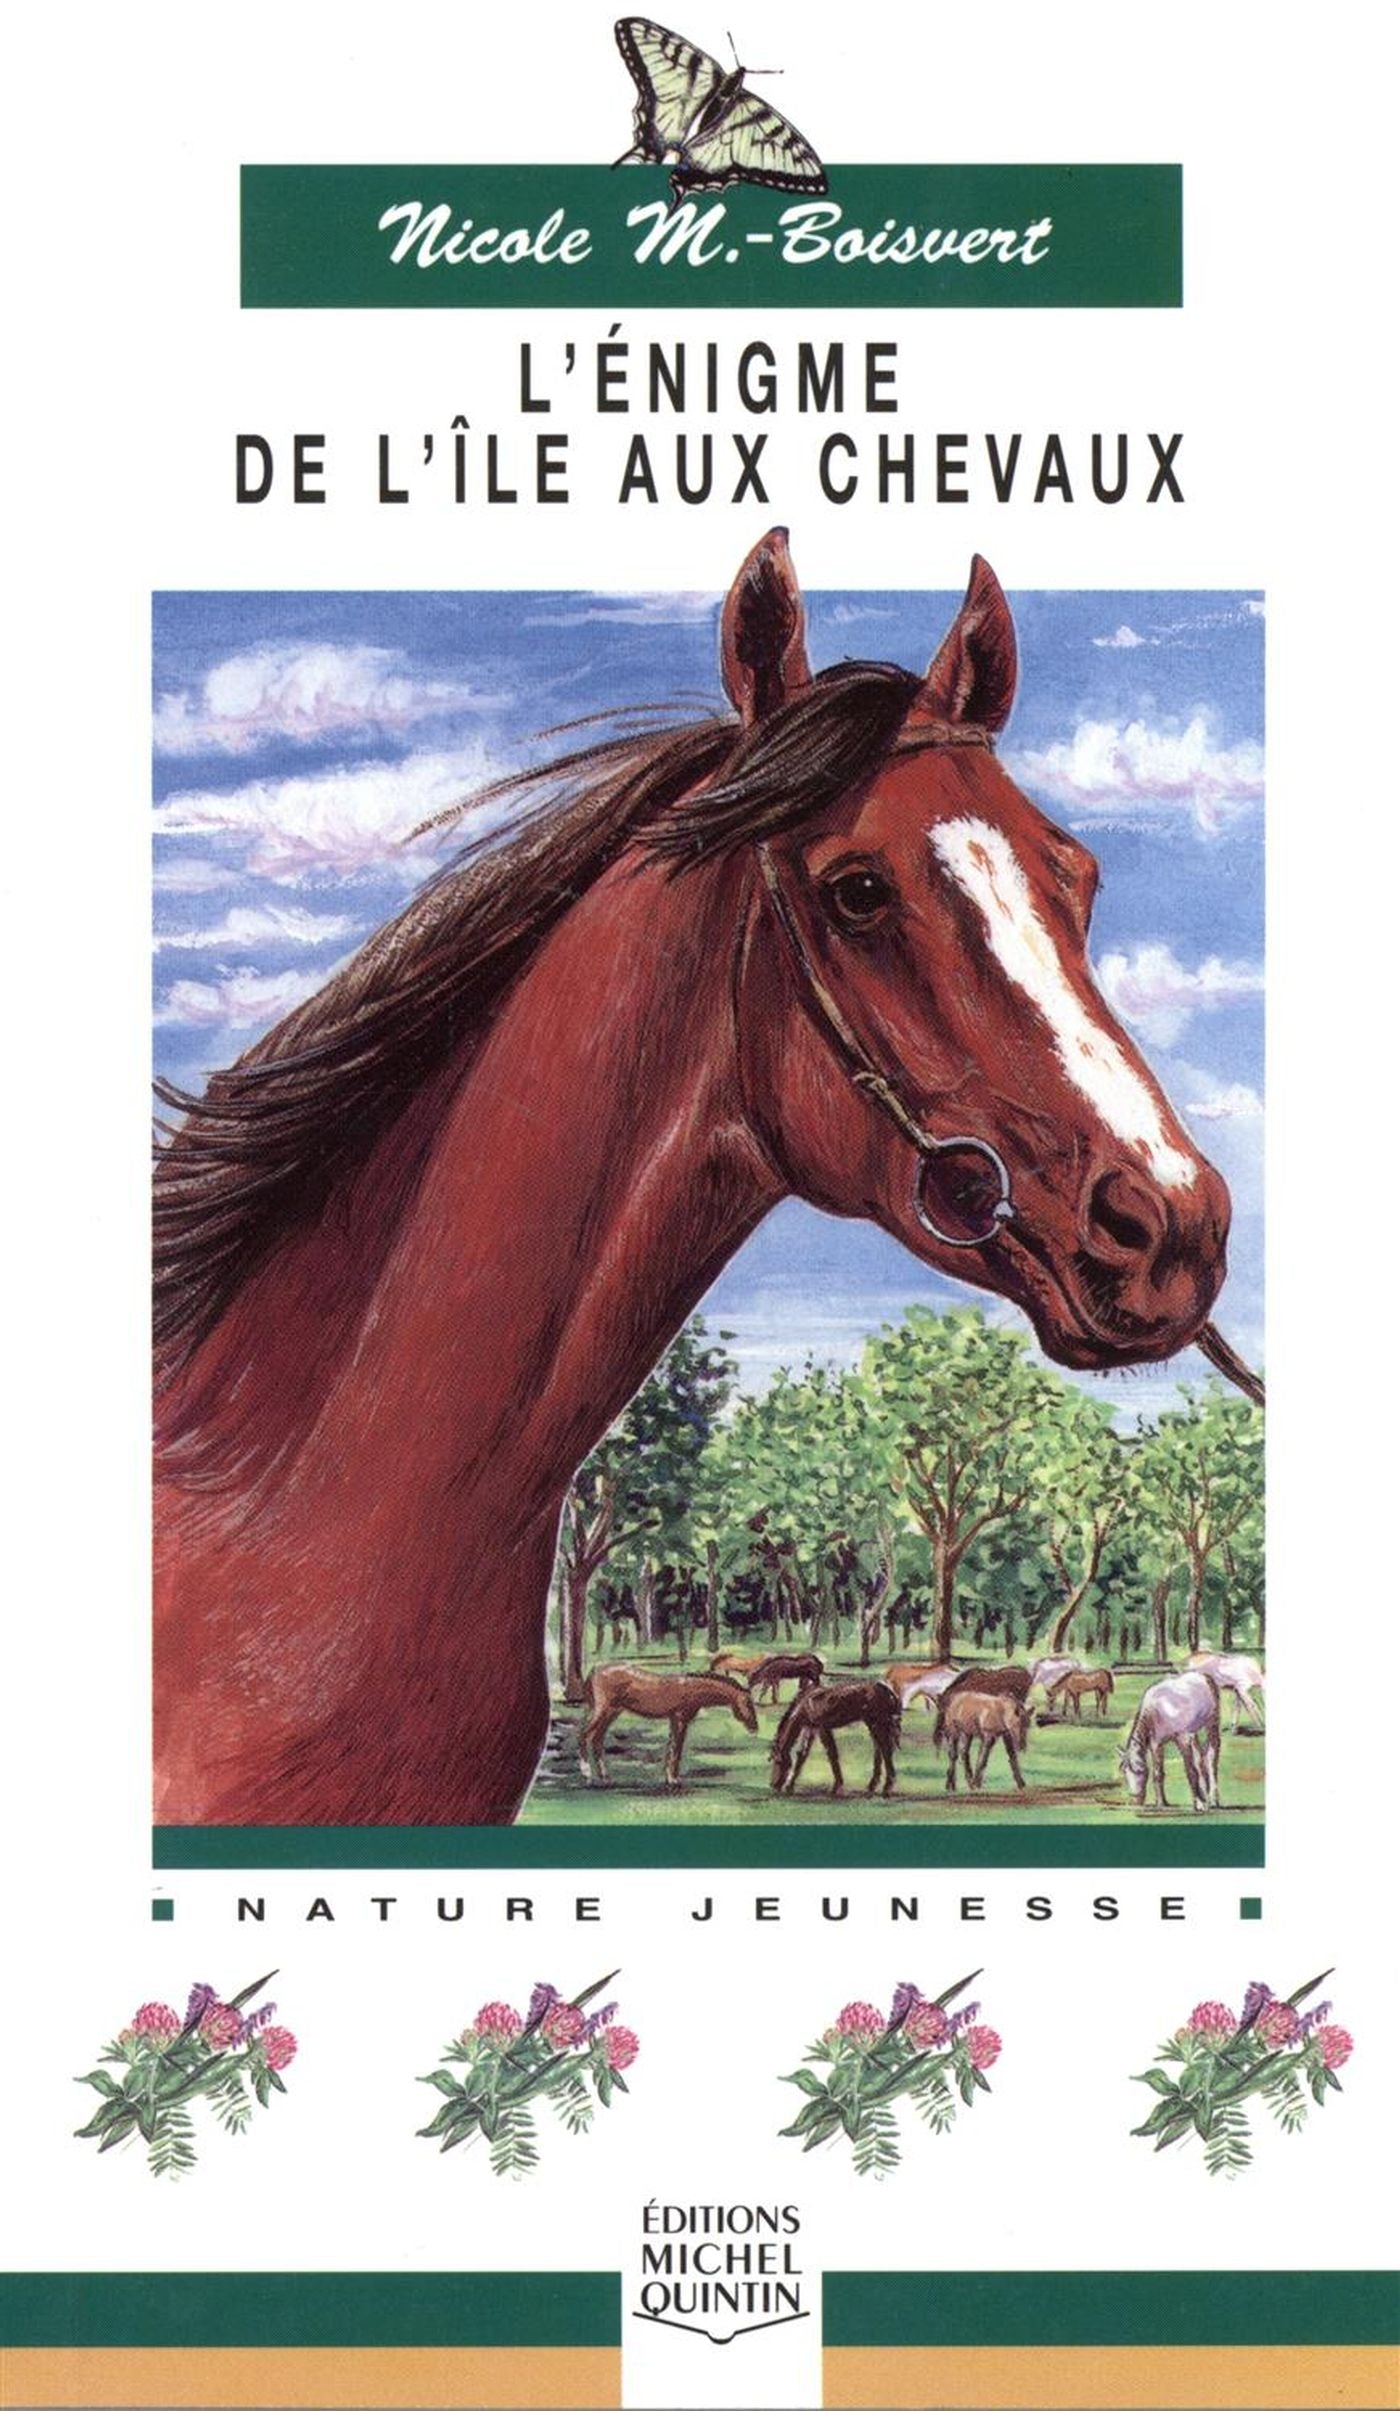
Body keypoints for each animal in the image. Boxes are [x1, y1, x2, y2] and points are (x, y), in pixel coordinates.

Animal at [577, 1665, 757, 1788]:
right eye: (748, 1703)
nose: (755, 1727)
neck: (691, 1688)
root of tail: (594, 1671)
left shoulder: (674, 1721)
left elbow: (671, 1748)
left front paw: (669, 1778)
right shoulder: (680, 1720)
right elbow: (676, 1749)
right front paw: (674, 1780)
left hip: (612, 1713)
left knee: (597, 1740)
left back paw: (605, 1778)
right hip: (601, 1710)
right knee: (583, 1735)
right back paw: (587, 1775)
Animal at [770, 1681, 901, 1798]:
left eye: (778, 1761)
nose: (773, 1785)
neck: (807, 1703)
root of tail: (885, 1689)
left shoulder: (822, 1728)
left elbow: (832, 1754)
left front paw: (836, 1787)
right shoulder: (811, 1728)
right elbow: (802, 1755)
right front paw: (790, 1786)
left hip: (878, 1724)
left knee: (885, 1750)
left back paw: (887, 1789)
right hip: (872, 1724)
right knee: (879, 1750)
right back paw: (872, 1786)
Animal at [1119, 1671, 1221, 1812]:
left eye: (1138, 1771)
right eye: (1124, 1771)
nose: (1136, 1800)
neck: (1155, 1710)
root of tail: (1204, 1676)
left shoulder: (1183, 1739)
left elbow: (1190, 1771)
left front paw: (1199, 1803)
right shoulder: (1156, 1744)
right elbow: (1158, 1773)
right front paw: (1162, 1803)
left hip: (1211, 1724)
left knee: (1211, 1759)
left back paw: (1213, 1800)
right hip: (1194, 1734)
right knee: (1200, 1760)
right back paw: (1206, 1796)